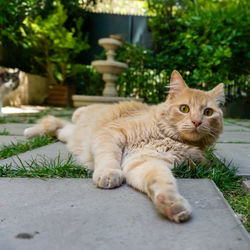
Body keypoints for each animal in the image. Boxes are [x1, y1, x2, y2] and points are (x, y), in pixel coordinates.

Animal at [24, 70, 224, 223]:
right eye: (184, 109)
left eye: (208, 112)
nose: (197, 121)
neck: (166, 137)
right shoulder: (111, 134)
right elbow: (108, 158)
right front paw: (108, 174)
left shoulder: (145, 161)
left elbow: (162, 181)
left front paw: (170, 203)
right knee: (54, 122)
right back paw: (29, 132)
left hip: (69, 135)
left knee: (58, 127)